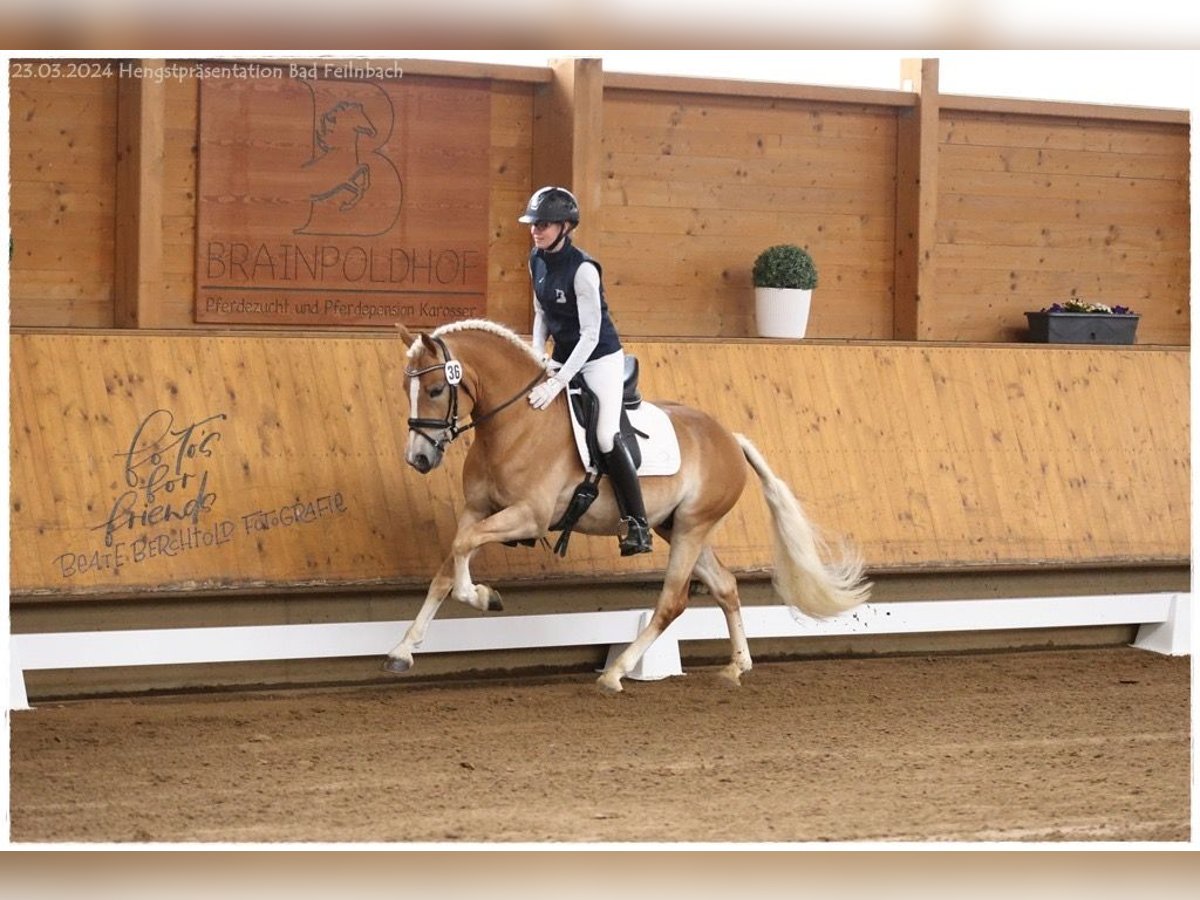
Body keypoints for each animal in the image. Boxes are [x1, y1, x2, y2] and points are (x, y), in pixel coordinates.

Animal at [388, 321, 868, 696]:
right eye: (405, 389)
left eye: (435, 389)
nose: (418, 459)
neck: (519, 423)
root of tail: (730, 437)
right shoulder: (476, 509)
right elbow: (447, 567)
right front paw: (403, 650)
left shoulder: (528, 517)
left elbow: (462, 551)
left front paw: (483, 596)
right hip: (678, 527)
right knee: (726, 586)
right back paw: (736, 666)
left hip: (692, 528)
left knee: (672, 601)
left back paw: (616, 673)